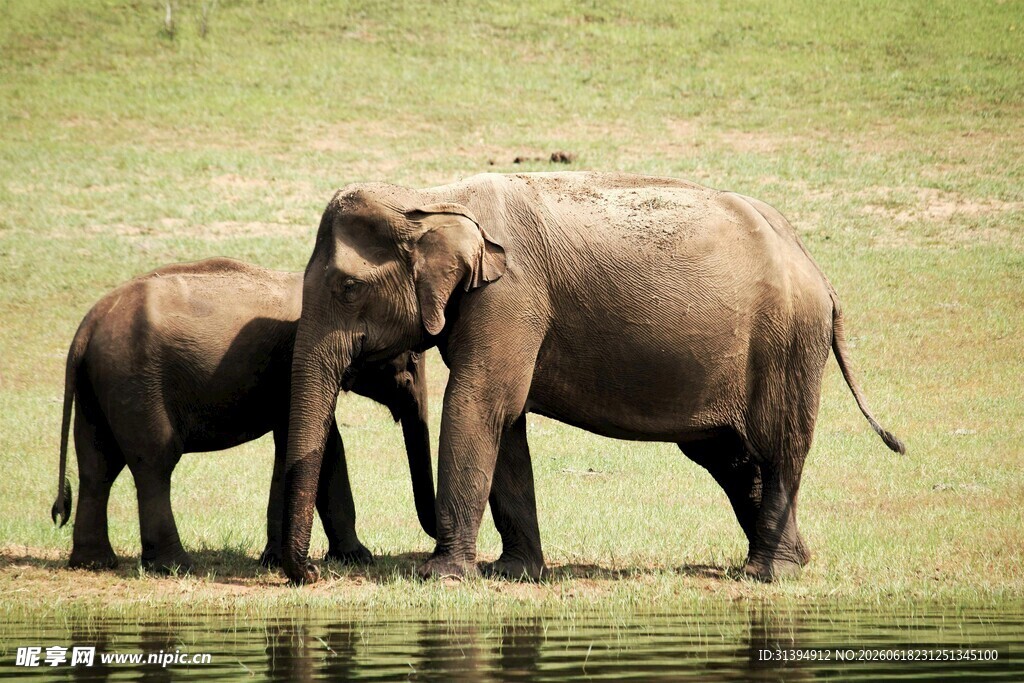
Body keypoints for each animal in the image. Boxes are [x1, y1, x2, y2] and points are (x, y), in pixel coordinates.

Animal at [50, 257, 435, 573]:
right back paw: (175, 566)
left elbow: (301, 447)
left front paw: (278, 560)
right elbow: (324, 446)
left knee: (97, 464)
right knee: (154, 462)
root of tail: (86, 328)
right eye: (414, 357)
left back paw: (94, 563)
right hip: (135, 382)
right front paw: (357, 558)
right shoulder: (298, 362)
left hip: (99, 385)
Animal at [280, 172, 904, 585]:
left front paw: (444, 577)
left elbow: (478, 404)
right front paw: (514, 573)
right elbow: (506, 420)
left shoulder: (510, 297)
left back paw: (767, 574)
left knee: (779, 446)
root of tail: (818, 271)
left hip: (786, 342)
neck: (430, 198)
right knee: (726, 456)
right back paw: (790, 560)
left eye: (348, 289)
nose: (309, 574)